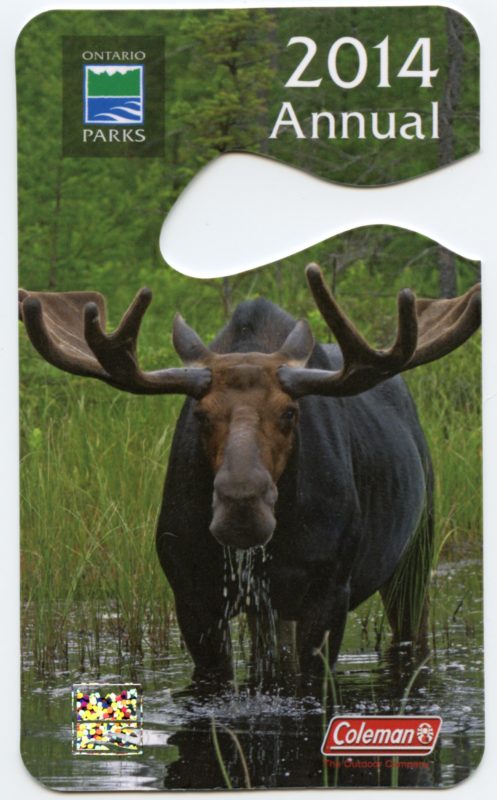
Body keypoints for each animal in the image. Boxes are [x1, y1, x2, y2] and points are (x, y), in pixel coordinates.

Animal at [20, 266, 480, 684]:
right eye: (201, 415)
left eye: (290, 412)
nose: (242, 507)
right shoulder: (192, 596)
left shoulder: (330, 591)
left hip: (416, 554)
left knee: (412, 635)